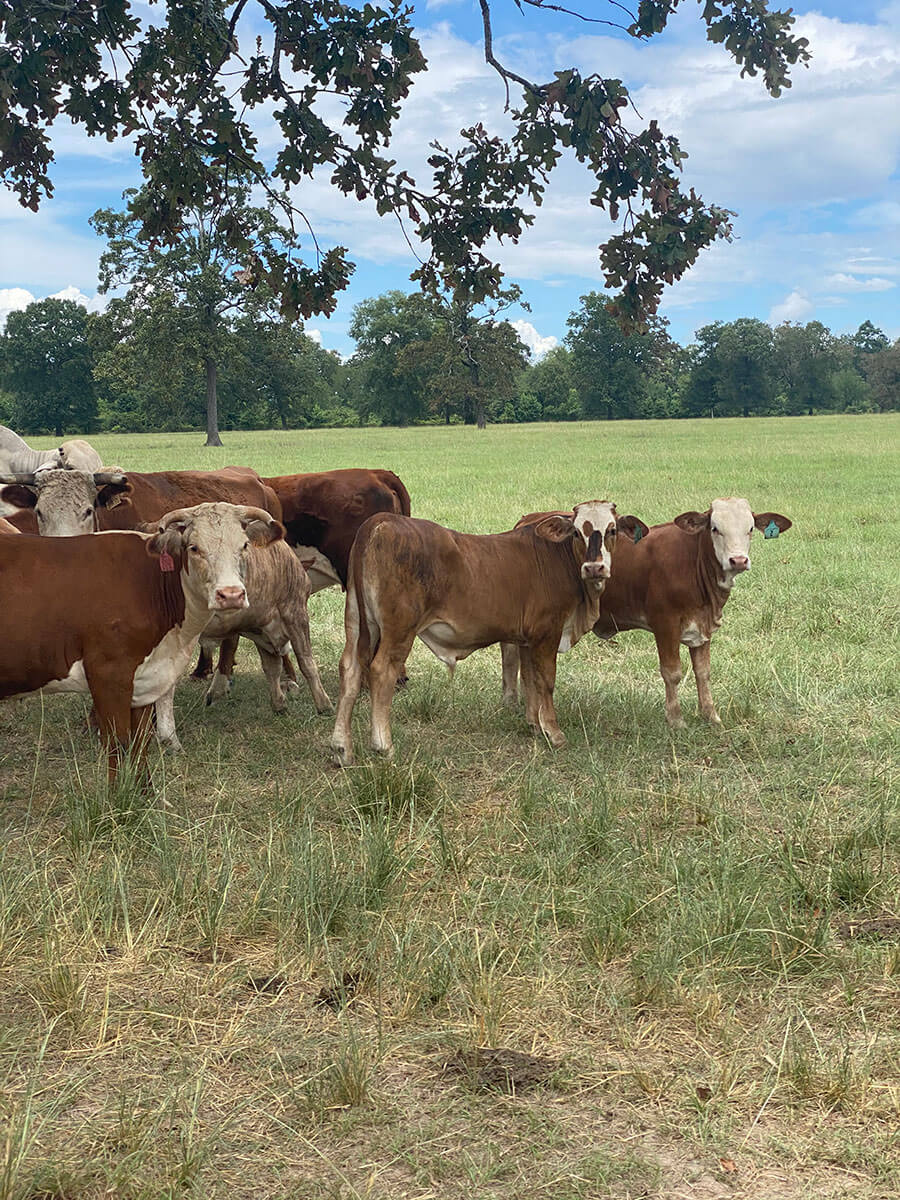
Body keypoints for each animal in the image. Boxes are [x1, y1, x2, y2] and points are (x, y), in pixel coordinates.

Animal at [0, 503, 285, 780]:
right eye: (194, 547)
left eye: (244, 545)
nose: (231, 595)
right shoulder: (109, 676)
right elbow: (118, 744)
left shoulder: (145, 680)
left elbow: (140, 745)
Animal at [330, 502, 648, 766]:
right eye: (577, 533)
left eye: (612, 530)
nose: (595, 567)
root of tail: (382, 521)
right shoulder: (548, 633)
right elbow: (546, 681)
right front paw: (554, 733)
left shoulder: (527, 639)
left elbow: (529, 679)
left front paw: (534, 725)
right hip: (398, 630)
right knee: (381, 671)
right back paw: (383, 745)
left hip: (356, 620)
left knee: (350, 669)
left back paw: (341, 747)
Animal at [501, 498, 792, 727]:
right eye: (715, 528)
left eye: (750, 529)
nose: (738, 560)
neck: (693, 561)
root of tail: (528, 520)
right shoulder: (665, 624)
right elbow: (672, 672)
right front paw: (676, 719)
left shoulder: (702, 627)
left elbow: (703, 672)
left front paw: (711, 716)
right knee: (512, 652)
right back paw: (512, 701)